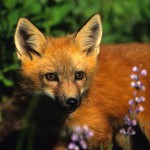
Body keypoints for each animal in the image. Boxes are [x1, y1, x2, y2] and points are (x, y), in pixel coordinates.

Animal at [0, 13, 150, 149]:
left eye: (79, 75)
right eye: (51, 77)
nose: (72, 102)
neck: (60, 120)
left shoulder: (100, 133)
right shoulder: (56, 140)